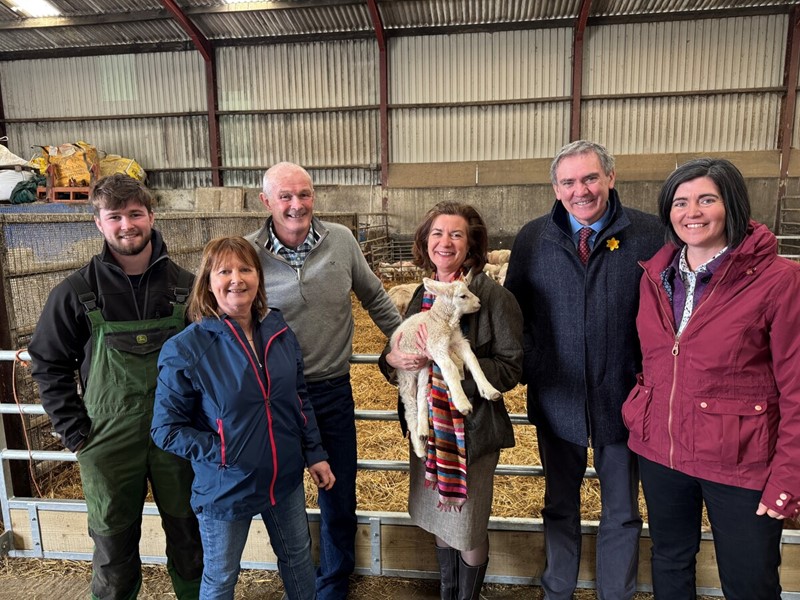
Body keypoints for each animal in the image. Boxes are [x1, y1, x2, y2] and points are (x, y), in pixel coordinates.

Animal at [392, 278, 500, 460]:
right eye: (463, 296)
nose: (479, 302)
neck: (442, 321)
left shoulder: (458, 341)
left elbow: (473, 361)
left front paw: (489, 390)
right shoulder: (436, 346)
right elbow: (450, 368)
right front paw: (462, 402)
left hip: (423, 366)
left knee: (422, 394)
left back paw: (423, 431)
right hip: (406, 373)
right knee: (410, 408)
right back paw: (419, 448)